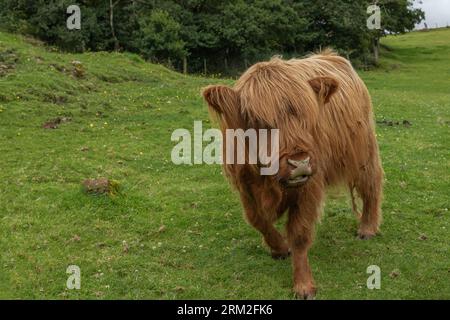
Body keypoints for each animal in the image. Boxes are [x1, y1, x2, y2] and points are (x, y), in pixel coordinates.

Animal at [204, 48, 384, 298]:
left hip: (362, 152)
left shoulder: (309, 186)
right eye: (258, 121)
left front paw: (303, 284)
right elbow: (257, 219)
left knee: (371, 185)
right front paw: (279, 248)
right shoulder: (245, 186)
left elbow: (299, 234)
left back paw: (367, 228)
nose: (300, 163)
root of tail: (332, 55)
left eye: (307, 116)